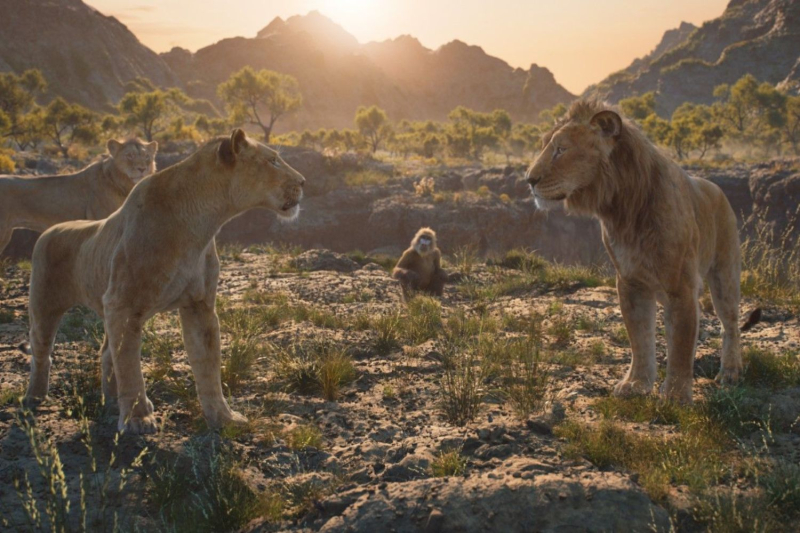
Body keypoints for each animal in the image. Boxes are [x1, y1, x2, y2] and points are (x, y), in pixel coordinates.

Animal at [24, 129, 306, 432]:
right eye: (273, 160)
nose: (303, 181)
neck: (202, 223)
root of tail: (50, 230)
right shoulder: (123, 304)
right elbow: (130, 366)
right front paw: (137, 420)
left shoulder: (199, 305)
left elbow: (208, 365)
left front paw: (223, 417)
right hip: (45, 305)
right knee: (42, 351)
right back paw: (34, 398)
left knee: (107, 352)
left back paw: (112, 400)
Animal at [524, 101, 744, 404]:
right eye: (546, 146)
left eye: (561, 149)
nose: (529, 180)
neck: (622, 209)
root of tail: (716, 187)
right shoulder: (630, 282)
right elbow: (639, 337)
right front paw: (637, 384)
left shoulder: (681, 286)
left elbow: (681, 345)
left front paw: (675, 397)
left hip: (725, 273)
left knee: (730, 323)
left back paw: (731, 372)